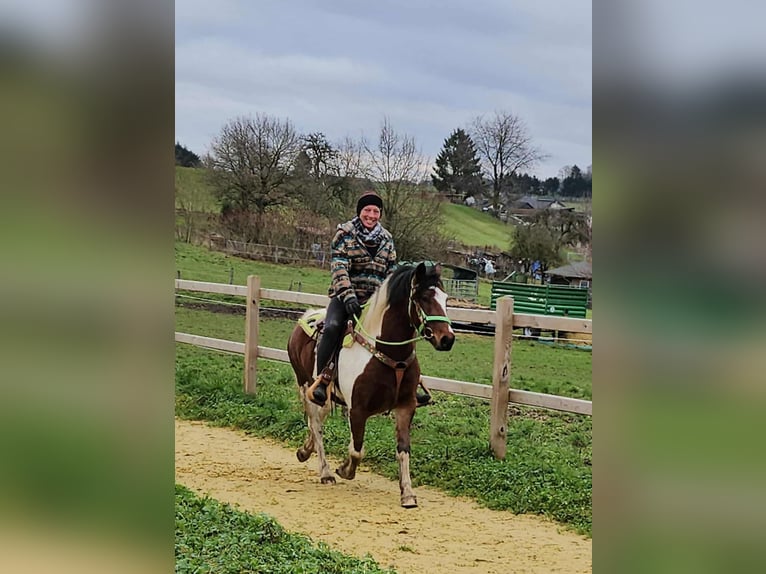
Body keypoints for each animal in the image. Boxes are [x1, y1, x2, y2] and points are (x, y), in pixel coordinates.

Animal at [287, 262, 455, 507]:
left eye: (445, 298)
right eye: (423, 297)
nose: (447, 339)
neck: (388, 353)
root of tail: (306, 317)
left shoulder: (406, 407)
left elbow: (403, 449)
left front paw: (408, 493)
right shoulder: (357, 409)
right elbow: (357, 449)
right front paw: (344, 469)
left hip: (326, 397)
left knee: (316, 420)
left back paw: (304, 451)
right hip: (305, 384)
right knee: (315, 424)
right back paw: (326, 472)